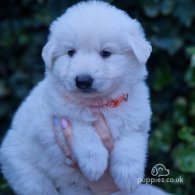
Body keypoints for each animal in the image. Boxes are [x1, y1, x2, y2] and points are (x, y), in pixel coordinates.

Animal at [0, 1, 154, 195]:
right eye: (70, 52)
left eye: (106, 53)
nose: (83, 80)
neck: (100, 102)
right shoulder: (56, 120)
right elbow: (83, 129)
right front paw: (94, 163)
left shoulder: (137, 118)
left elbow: (131, 142)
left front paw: (129, 176)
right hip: (28, 174)